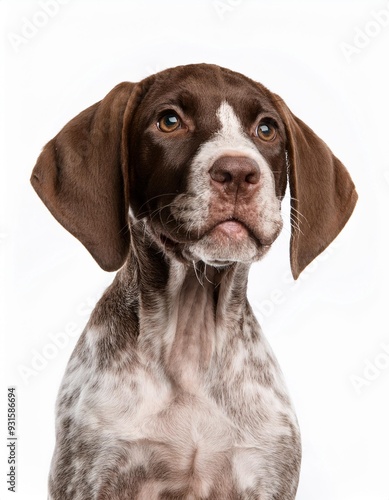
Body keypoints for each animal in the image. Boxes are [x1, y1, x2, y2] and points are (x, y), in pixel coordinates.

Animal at [31, 64, 356, 498]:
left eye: (266, 129)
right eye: (169, 121)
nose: (238, 173)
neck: (192, 336)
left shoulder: (267, 473)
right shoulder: (91, 475)